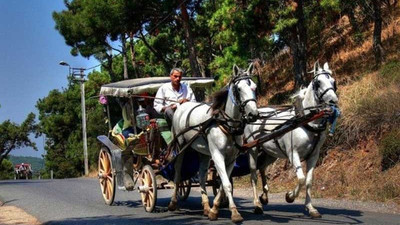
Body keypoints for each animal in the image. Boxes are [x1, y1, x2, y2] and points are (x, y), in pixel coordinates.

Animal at [167, 64, 258, 222]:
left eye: (254, 87)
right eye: (238, 89)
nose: (254, 114)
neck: (226, 124)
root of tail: (180, 106)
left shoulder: (231, 159)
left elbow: (222, 184)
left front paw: (214, 209)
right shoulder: (217, 155)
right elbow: (227, 184)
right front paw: (235, 213)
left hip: (203, 153)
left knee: (202, 177)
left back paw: (205, 207)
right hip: (181, 148)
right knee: (177, 174)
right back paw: (173, 202)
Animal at [244, 62, 338, 218]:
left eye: (333, 82)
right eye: (318, 82)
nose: (333, 101)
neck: (306, 121)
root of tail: (254, 114)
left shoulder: (314, 155)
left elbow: (309, 180)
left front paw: (310, 208)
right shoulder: (293, 154)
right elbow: (301, 178)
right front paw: (290, 196)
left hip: (271, 153)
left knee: (262, 168)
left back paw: (264, 196)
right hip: (252, 149)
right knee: (253, 175)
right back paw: (257, 204)